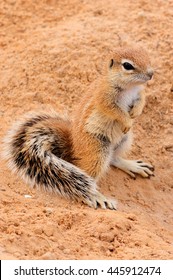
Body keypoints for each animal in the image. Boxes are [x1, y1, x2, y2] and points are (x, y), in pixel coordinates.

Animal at [2, 46, 154, 209]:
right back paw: (97, 196)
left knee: (113, 159)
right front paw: (127, 121)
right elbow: (114, 111)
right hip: (97, 151)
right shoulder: (105, 97)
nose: (151, 74)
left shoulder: (139, 93)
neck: (130, 87)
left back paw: (133, 165)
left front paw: (135, 112)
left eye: (146, 56)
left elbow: (141, 100)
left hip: (125, 140)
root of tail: (72, 146)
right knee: (88, 176)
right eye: (127, 65)